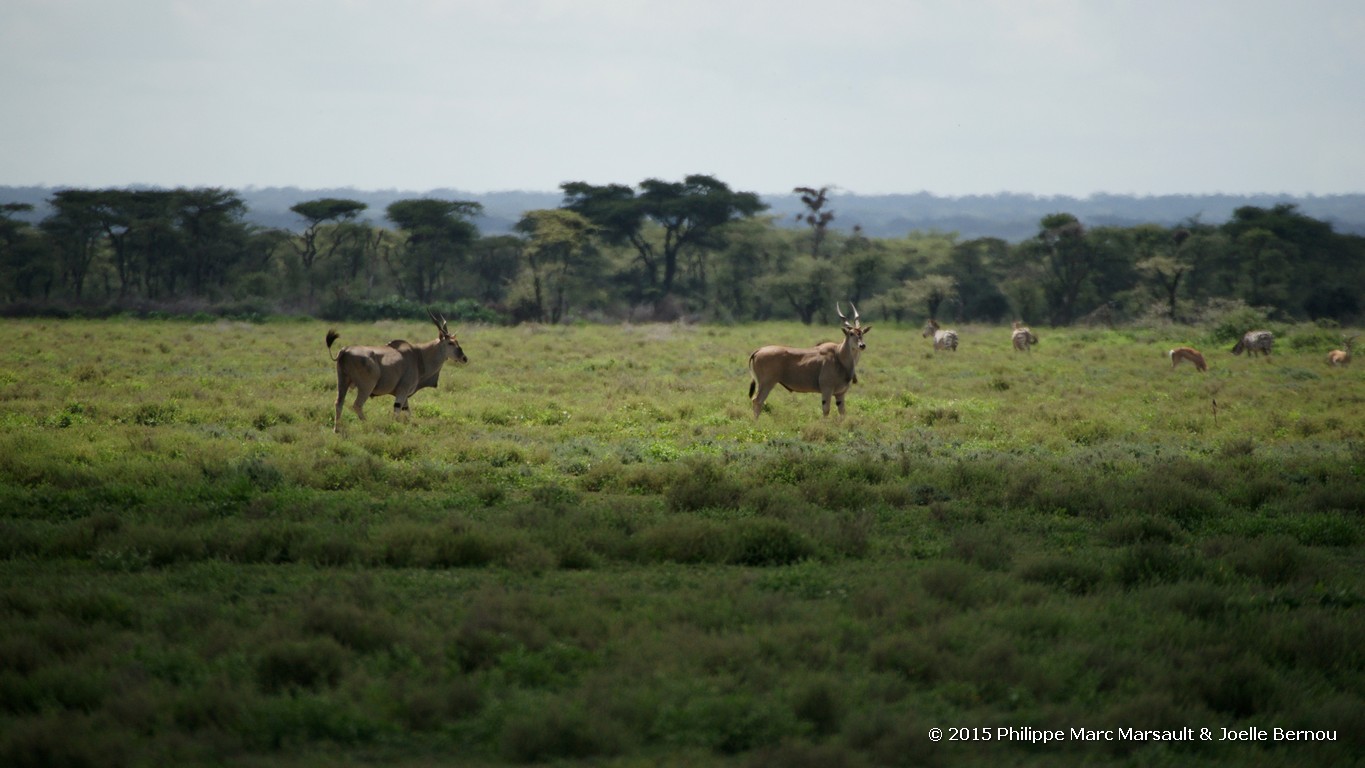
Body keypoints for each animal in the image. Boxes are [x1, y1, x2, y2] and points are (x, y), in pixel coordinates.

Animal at [324, 311, 469, 433]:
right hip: (366, 387)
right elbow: (397, 410)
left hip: (342, 383)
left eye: (457, 341)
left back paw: (337, 429)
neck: (418, 355)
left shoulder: (405, 396)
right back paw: (368, 424)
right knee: (357, 405)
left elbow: (407, 413)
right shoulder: (402, 391)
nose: (464, 358)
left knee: (338, 403)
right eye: (450, 343)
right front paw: (393, 427)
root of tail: (344, 351)